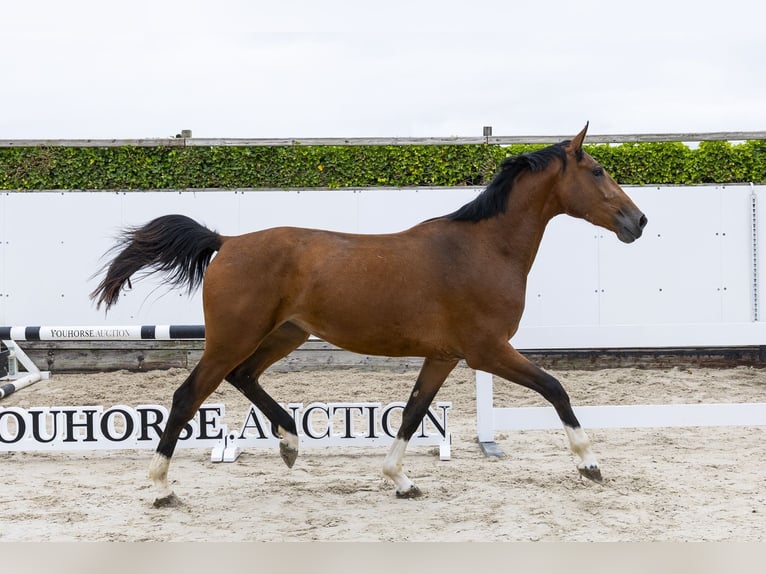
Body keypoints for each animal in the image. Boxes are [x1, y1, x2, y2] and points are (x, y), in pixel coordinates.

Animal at [91, 124, 647, 507]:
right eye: (597, 171)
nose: (638, 221)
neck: (483, 249)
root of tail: (226, 242)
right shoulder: (487, 350)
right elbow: (556, 388)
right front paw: (590, 464)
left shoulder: (444, 356)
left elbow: (413, 412)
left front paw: (401, 480)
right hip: (233, 337)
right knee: (188, 396)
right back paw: (162, 488)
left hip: (284, 334)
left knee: (244, 376)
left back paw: (290, 442)